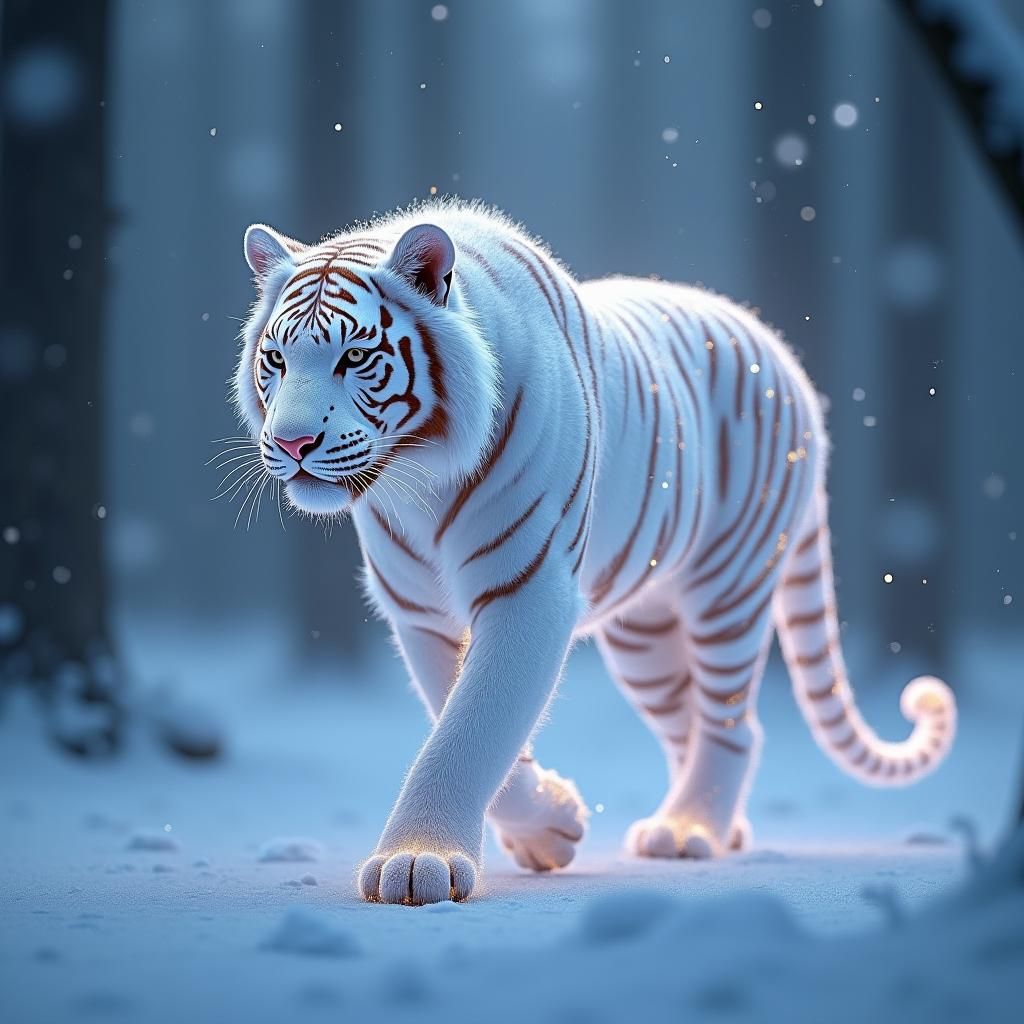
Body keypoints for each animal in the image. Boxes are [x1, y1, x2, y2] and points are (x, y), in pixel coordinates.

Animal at [232, 200, 956, 906]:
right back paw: (713, 825)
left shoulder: (528, 591)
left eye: (355, 358)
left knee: (732, 724)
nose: (292, 443)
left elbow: (473, 727)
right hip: (645, 640)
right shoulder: (418, 612)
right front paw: (548, 829)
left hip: (729, 586)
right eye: (276, 360)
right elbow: (459, 713)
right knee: (686, 723)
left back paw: (689, 829)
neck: (420, 479)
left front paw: (417, 863)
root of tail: (785, 357)